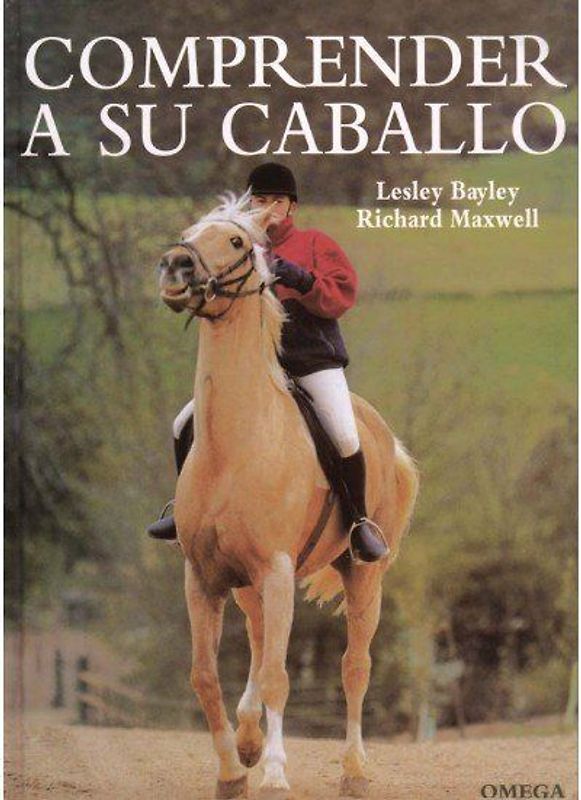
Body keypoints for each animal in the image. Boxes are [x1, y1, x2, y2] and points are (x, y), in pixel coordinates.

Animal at [156, 193, 419, 799]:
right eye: (190, 232)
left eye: (235, 241)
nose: (176, 267)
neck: (234, 445)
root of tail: (381, 432)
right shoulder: (203, 578)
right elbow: (206, 675)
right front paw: (233, 771)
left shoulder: (276, 571)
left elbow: (279, 675)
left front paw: (275, 774)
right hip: (248, 586)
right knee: (257, 644)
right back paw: (250, 739)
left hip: (362, 576)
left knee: (353, 666)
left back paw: (353, 769)